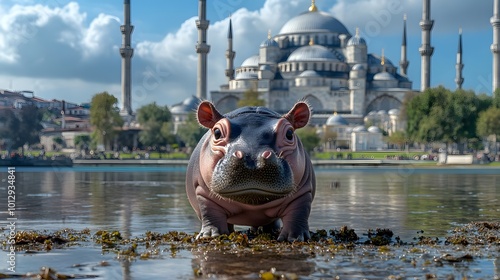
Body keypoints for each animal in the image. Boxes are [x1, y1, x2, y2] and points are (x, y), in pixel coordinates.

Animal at [186, 101, 314, 242]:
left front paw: (295, 238)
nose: (253, 159)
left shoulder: (303, 191)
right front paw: (211, 235)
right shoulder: (203, 191)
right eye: (217, 132)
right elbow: (209, 212)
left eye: (290, 133)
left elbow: (298, 214)